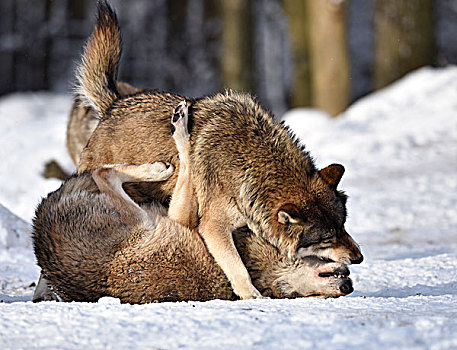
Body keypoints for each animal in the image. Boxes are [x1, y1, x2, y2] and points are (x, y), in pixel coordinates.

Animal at [75, 1, 362, 300]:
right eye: (327, 238)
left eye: (342, 226)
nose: (359, 258)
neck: (252, 166)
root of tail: (114, 104)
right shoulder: (213, 227)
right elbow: (238, 267)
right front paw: (252, 295)